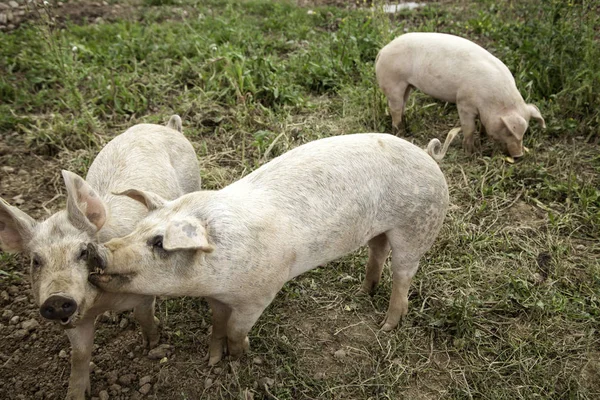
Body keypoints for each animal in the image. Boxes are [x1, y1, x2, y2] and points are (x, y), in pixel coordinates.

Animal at [0, 115, 202, 400]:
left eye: (83, 252)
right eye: (36, 261)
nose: (57, 299)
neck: (101, 302)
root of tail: (167, 127)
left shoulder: (142, 288)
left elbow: (143, 314)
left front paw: (152, 343)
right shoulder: (76, 320)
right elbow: (79, 353)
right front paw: (76, 395)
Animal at [86, 134, 448, 366]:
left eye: (159, 243)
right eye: (139, 227)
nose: (97, 252)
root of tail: (429, 156)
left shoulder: (262, 292)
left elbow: (236, 328)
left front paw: (239, 356)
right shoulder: (217, 297)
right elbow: (217, 324)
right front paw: (212, 360)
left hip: (418, 224)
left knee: (403, 273)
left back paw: (387, 325)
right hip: (382, 228)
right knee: (378, 250)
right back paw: (363, 291)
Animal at [378, 32, 548, 157]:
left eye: (525, 132)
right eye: (508, 130)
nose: (519, 155)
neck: (493, 101)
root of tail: (382, 50)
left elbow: (483, 125)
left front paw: (483, 138)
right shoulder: (464, 102)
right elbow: (469, 127)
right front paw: (471, 152)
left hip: (407, 85)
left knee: (402, 105)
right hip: (393, 82)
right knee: (395, 108)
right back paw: (400, 132)